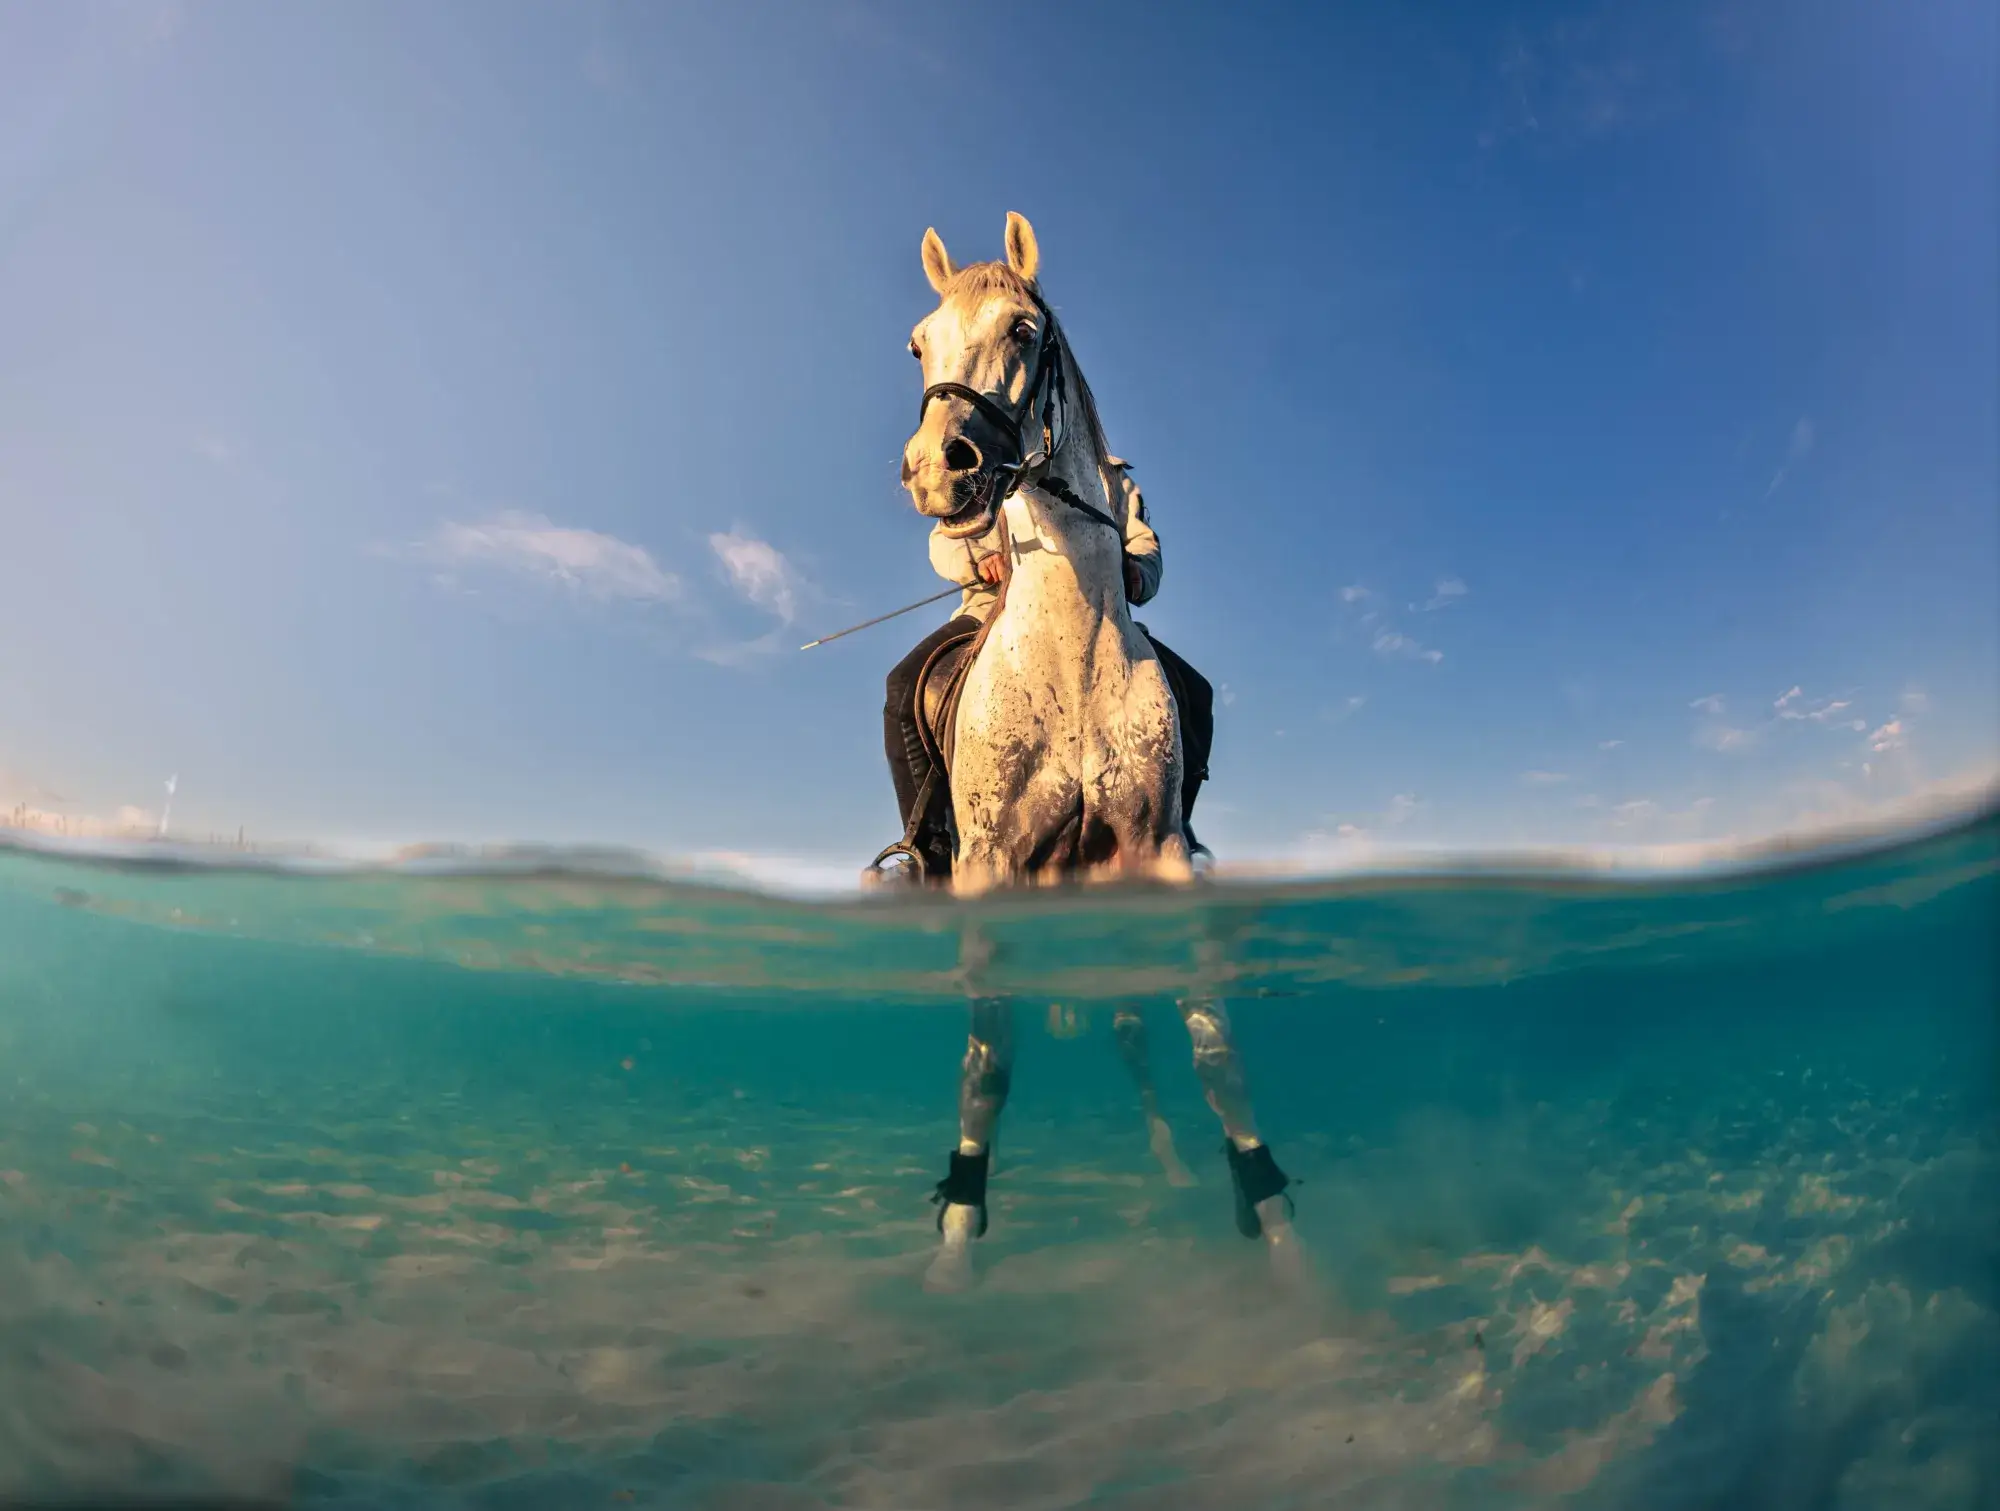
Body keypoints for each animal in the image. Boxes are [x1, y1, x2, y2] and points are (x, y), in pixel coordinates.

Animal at [898, 213, 1304, 1292]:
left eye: (1024, 329)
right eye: (918, 344)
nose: (939, 466)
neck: (1066, 653)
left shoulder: (1156, 852)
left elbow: (1211, 1046)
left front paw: (1273, 1217)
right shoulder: (988, 865)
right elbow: (987, 1058)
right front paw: (957, 1236)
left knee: (1128, 1027)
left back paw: (1170, 1165)